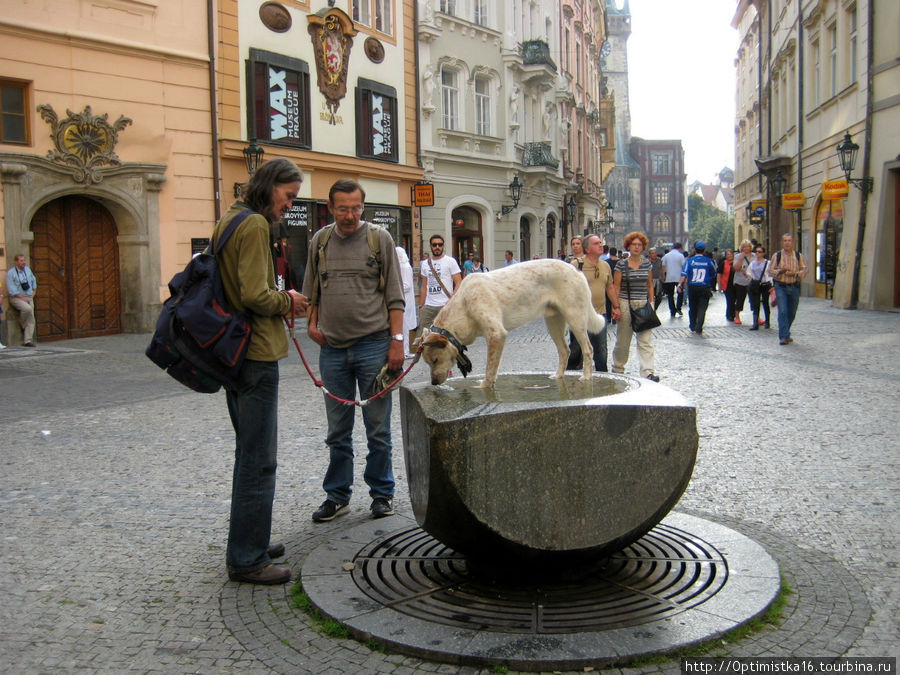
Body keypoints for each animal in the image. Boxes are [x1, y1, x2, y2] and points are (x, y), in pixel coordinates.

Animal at [414, 258, 604, 388]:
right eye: (428, 363)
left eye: (436, 360)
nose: (433, 383)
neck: (463, 304)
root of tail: (577, 271)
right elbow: (493, 367)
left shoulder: (496, 334)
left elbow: (490, 367)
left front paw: (485, 386)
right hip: (553, 323)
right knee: (565, 351)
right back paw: (558, 376)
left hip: (575, 318)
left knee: (588, 349)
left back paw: (586, 377)